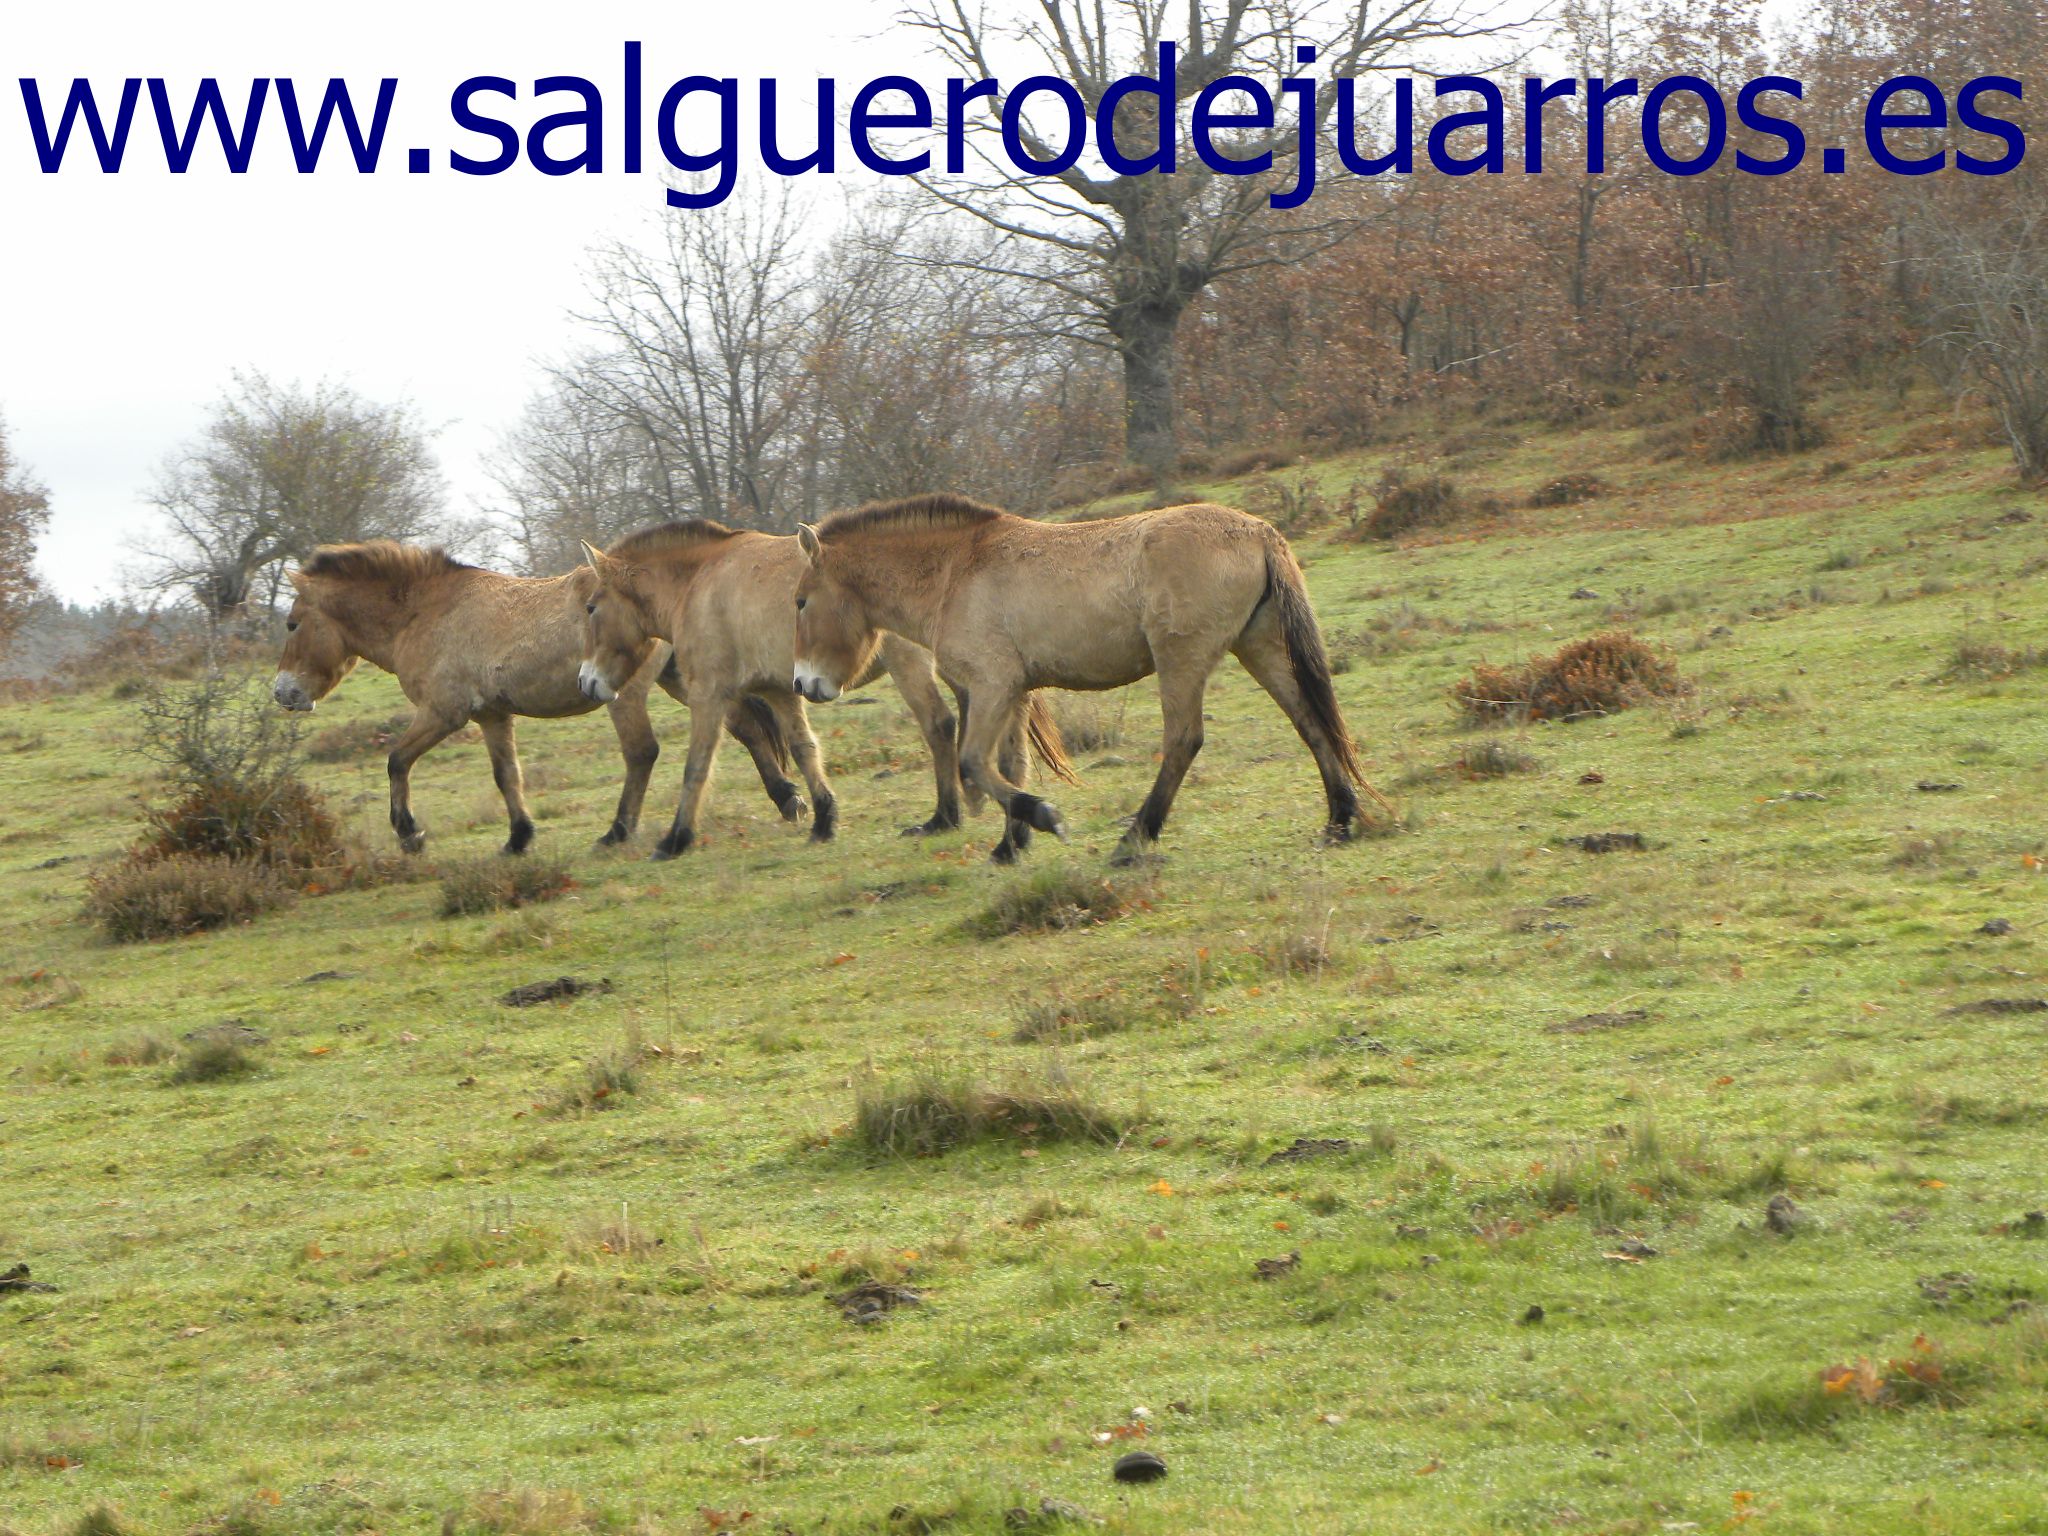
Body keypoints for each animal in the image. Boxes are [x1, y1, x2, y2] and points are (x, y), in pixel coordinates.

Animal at [272, 541, 806, 855]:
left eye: (292, 624)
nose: (282, 692)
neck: (425, 612)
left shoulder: (444, 713)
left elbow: (397, 760)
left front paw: (409, 832)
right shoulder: (491, 716)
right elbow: (507, 776)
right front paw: (518, 836)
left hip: (627, 693)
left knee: (642, 754)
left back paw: (618, 831)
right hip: (683, 679)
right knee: (746, 730)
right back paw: (789, 800)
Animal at [575, 519, 1073, 859]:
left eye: (592, 607)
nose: (586, 681)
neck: (699, 583)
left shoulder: (709, 696)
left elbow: (696, 768)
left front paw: (676, 839)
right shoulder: (780, 691)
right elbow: (803, 749)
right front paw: (823, 819)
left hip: (909, 663)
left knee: (940, 725)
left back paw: (946, 817)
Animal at [791, 494, 1393, 864]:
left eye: (799, 601)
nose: (802, 684)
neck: (956, 570)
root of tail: (1257, 532)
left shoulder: (990, 688)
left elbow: (974, 764)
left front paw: (1043, 818)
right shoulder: (1013, 694)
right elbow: (1009, 765)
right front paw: (1010, 845)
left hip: (1182, 661)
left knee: (1184, 740)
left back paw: (1136, 837)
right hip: (1259, 647)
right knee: (1309, 721)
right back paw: (1340, 820)